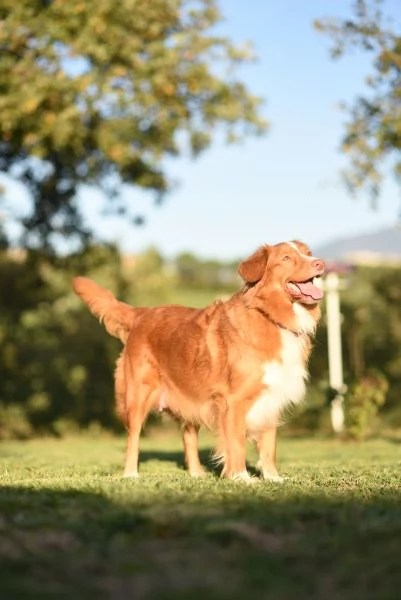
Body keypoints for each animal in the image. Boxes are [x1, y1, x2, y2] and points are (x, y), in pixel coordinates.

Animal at [72, 240, 324, 482]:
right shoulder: (233, 401)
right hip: (138, 396)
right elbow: (236, 444)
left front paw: (272, 477)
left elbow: (269, 446)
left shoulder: (273, 397)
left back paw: (195, 473)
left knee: (188, 436)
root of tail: (142, 313)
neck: (269, 316)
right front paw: (241, 477)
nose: (320, 263)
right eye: (286, 258)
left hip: (189, 394)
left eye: (308, 252)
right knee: (133, 438)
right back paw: (131, 474)